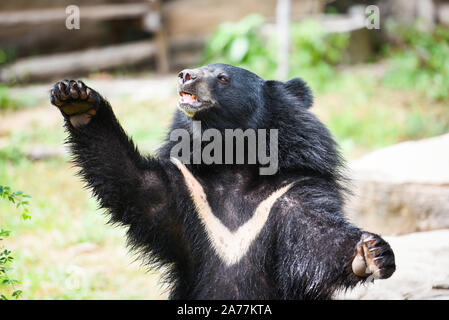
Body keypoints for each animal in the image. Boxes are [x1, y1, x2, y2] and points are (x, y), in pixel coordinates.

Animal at [49, 63, 392, 298]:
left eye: (223, 78)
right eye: (199, 69)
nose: (185, 75)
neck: (235, 163)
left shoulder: (290, 192)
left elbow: (317, 236)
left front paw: (372, 253)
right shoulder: (186, 188)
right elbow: (134, 183)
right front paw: (76, 99)